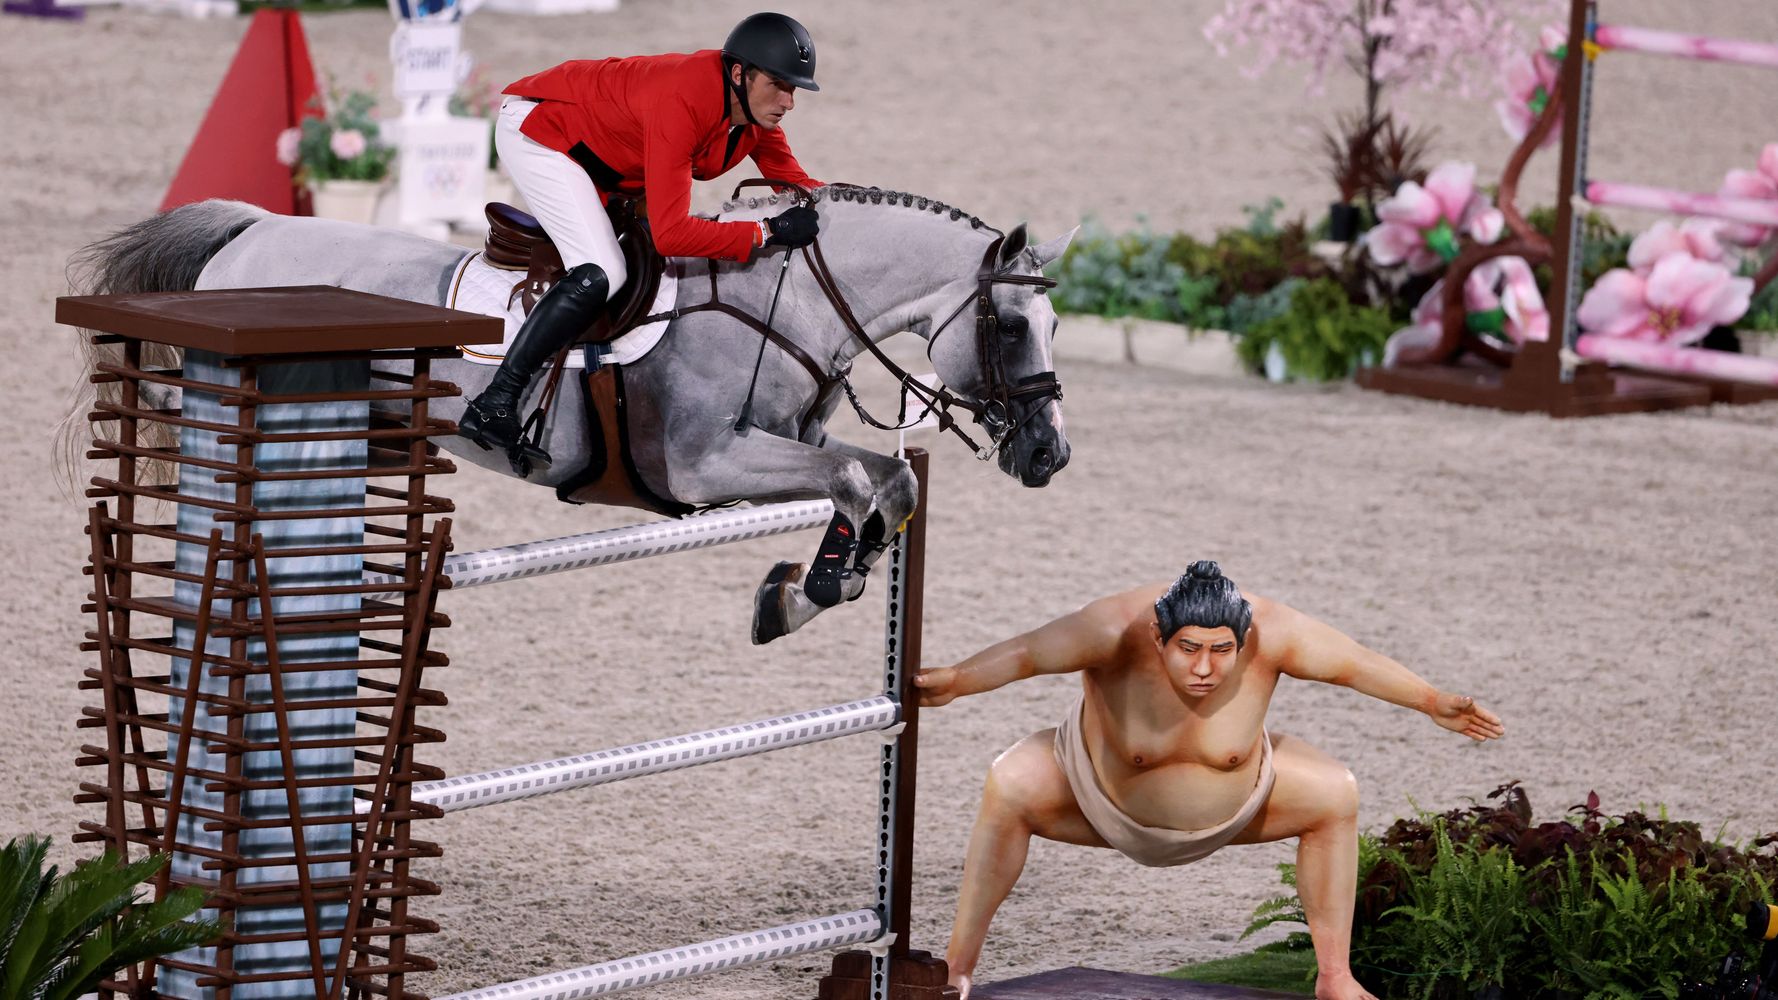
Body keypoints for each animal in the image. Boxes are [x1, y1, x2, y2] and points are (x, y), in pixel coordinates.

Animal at [76, 186, 1073, 637]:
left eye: (1058, 323)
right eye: (1011, 326)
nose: (1050, 457)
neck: (784, 303)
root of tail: (250, 227)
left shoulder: (790, 440)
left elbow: (885, 479)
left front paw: (805, 589)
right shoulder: (701, 464)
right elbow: (858, 481)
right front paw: (818, 586)